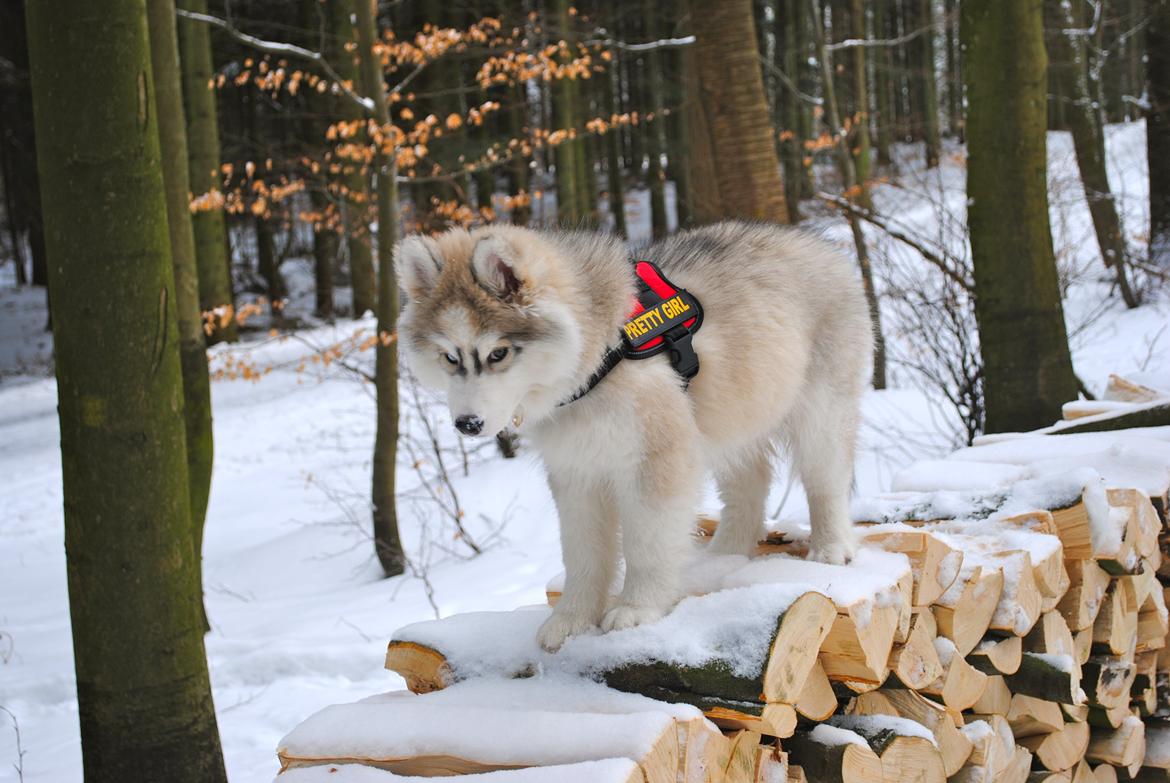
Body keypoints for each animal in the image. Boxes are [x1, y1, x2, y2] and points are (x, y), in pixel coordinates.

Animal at [397, 218, 875, 646]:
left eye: (497, 354)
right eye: (450, 357)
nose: (467, 424)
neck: (595, 359)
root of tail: (817, 243)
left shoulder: (656, 459)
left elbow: (647, 542)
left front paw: (637, 608)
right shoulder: (576, 473)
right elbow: (583, 553)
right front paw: (571, 619)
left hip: (819, 412)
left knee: (825, 480)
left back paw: (831, 546)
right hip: (734, 418)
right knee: (749, 486)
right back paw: (724, 558)